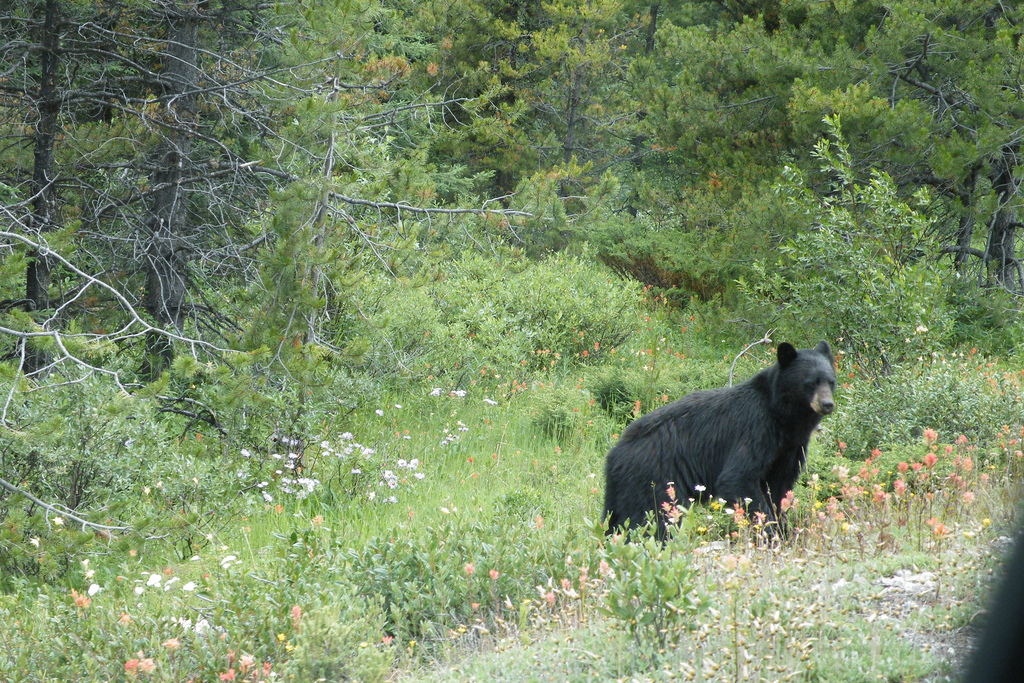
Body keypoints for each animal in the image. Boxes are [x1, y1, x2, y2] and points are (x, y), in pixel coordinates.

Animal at [602, 342, 835, 540]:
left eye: (831, 381)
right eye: (811, 382)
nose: (827, 404)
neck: (784, 417)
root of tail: (615, 454)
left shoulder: (789, 448)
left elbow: (777, 488)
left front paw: (782, 530)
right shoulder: (756, 429)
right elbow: (738, 478)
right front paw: (770, 534)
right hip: (655, 478)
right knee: (652, 518)